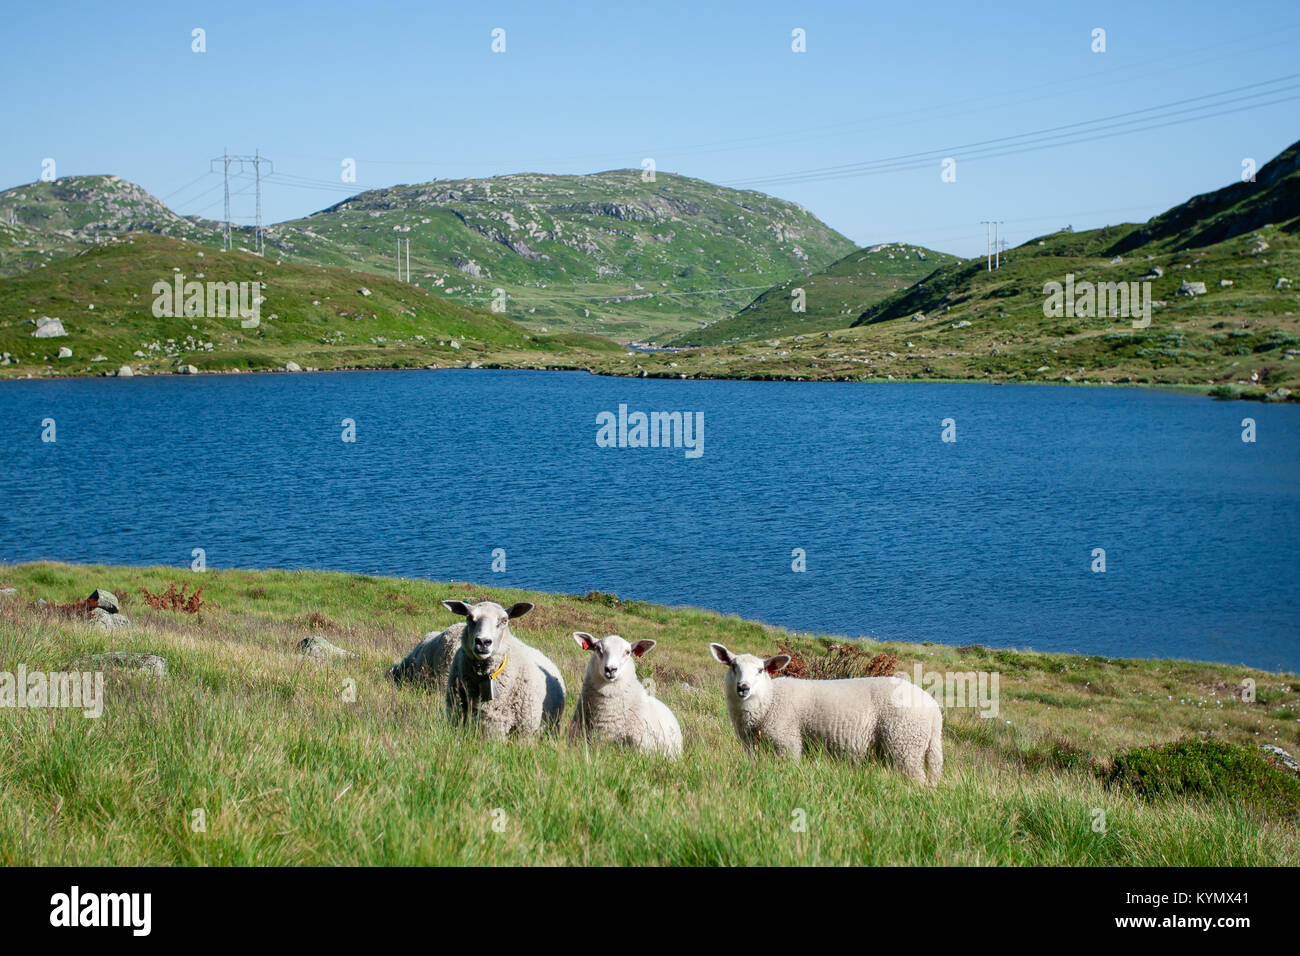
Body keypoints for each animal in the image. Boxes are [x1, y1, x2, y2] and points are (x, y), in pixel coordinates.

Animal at [712, 642, 946, 785]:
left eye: (760, 670)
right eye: (733, 666)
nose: (743, 687)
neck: (769, 701)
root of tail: (934, 709)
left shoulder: (787, 741)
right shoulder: (752, 747)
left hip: (906, 741)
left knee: (916, 779)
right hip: (920, 746)